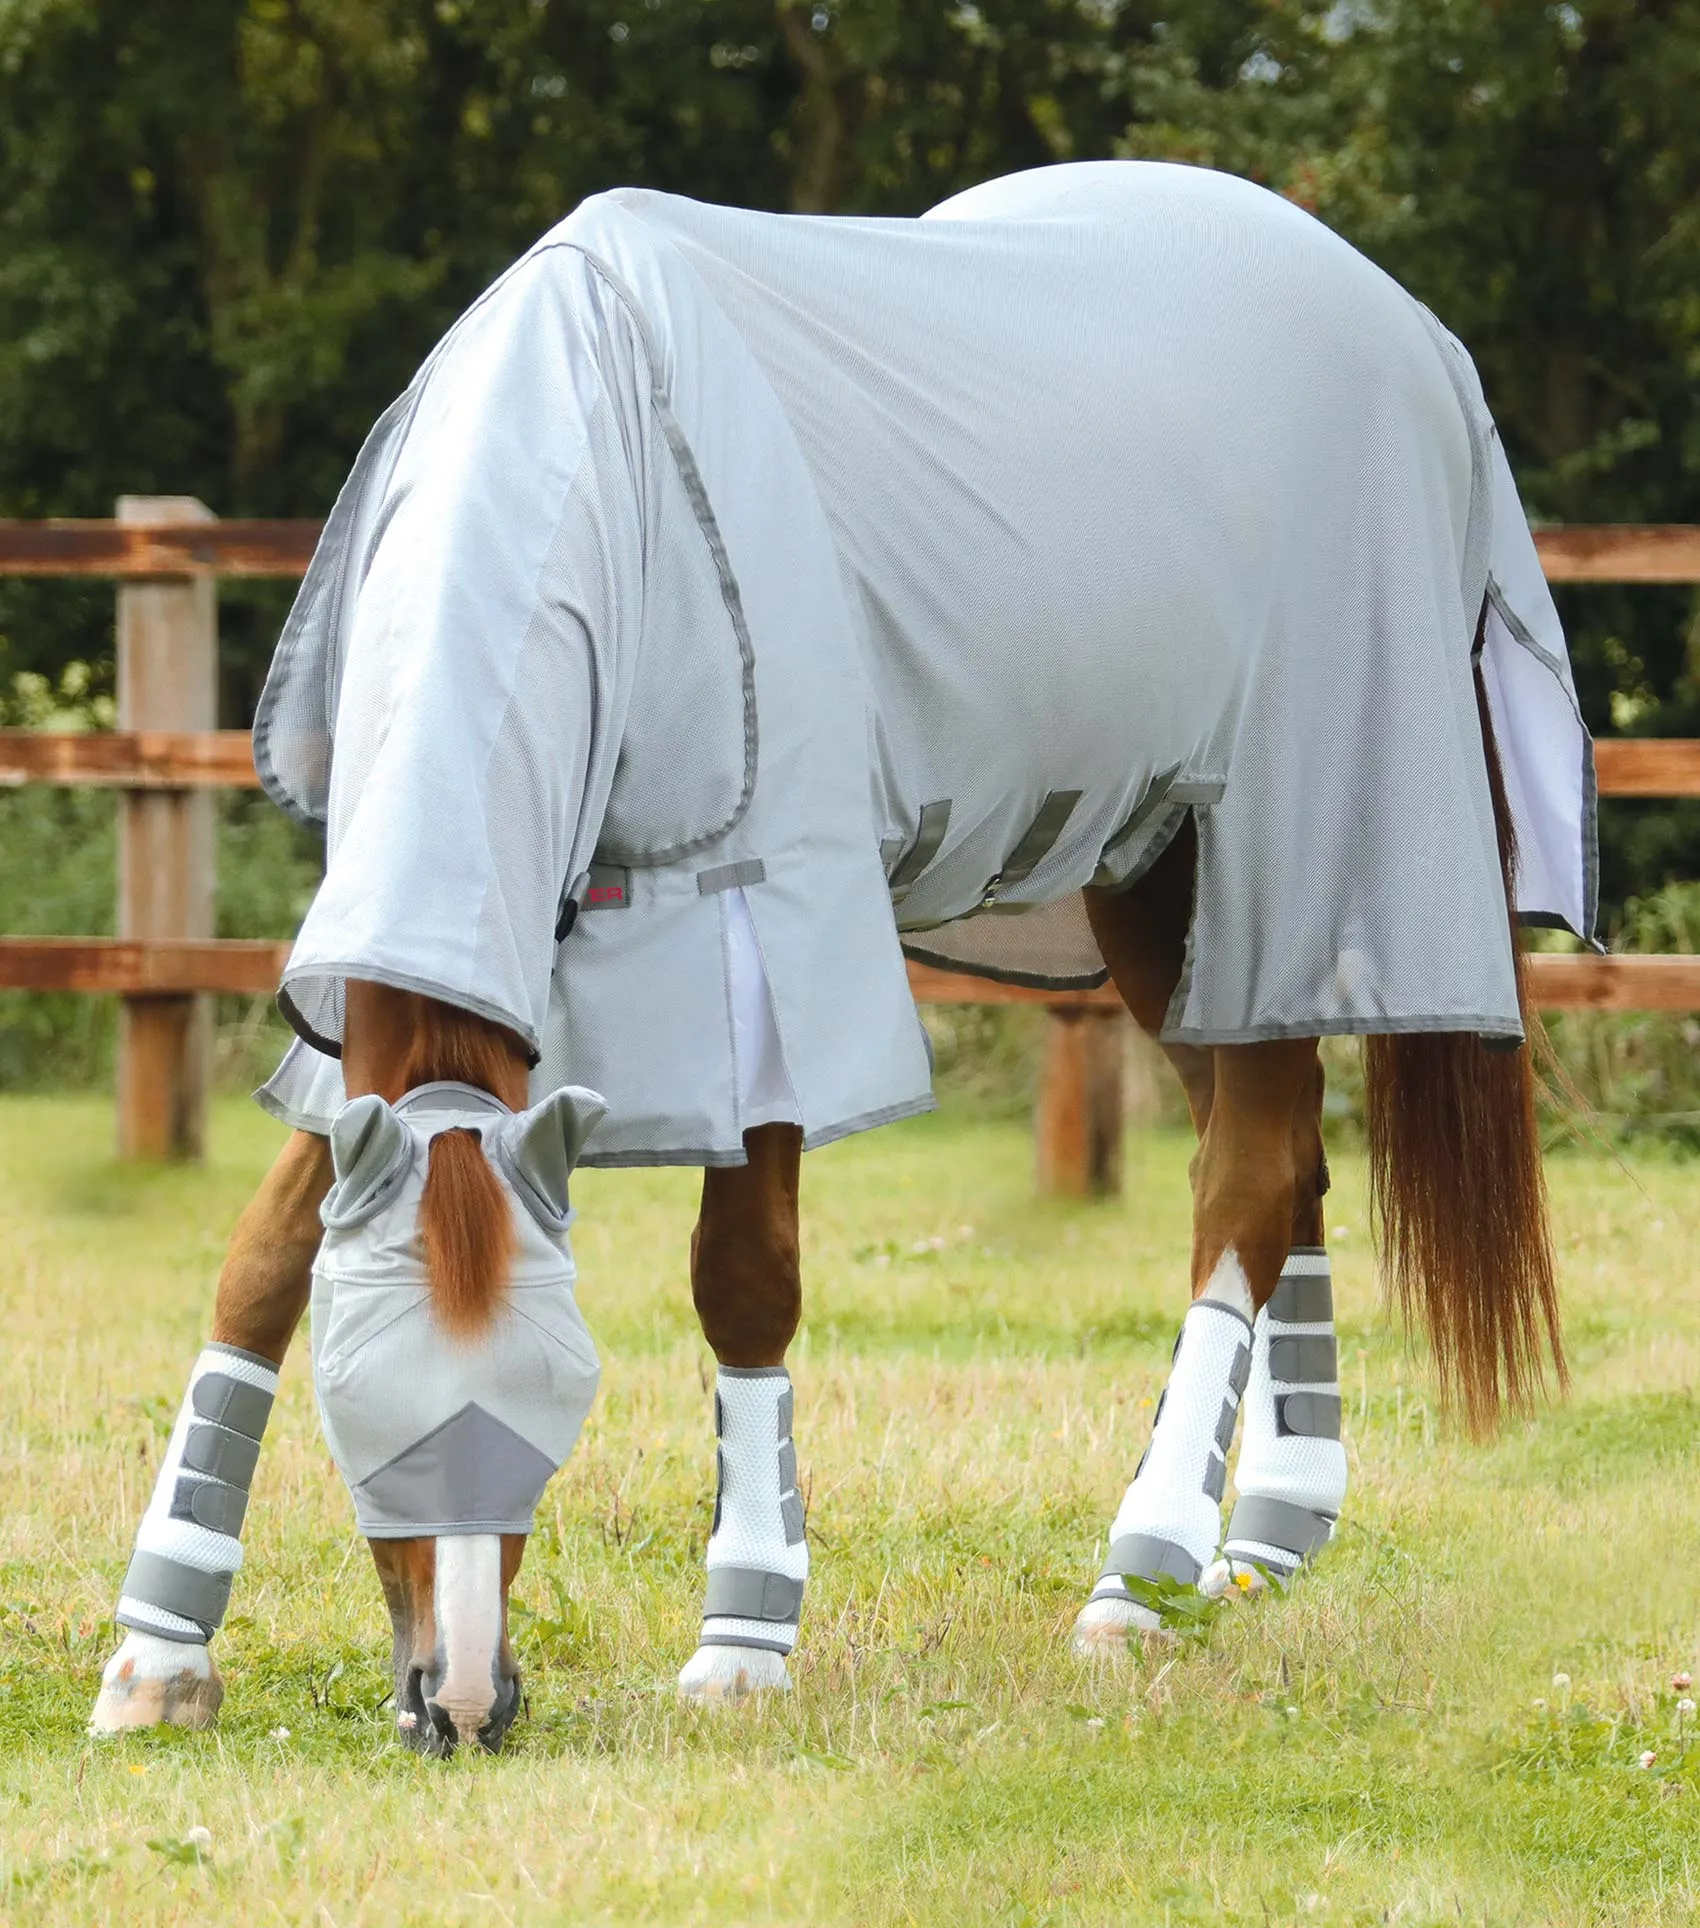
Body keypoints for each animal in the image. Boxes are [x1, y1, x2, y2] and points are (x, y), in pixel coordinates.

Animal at [89, 165, 1580, 1750]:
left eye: (554, 1397)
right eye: (368, 1407)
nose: (469, 1703)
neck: (589, 463)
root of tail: (1413, 329)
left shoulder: (760, 941)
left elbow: (743, 1277)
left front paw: (743, 1643)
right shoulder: (437, 987)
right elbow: (260, 1260)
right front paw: (158, 1651)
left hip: (1267, 860)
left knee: (1243, 1177)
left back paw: (1139, 1580)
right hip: (1157, 890)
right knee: (1278, 1158)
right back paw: (1264, 1542)